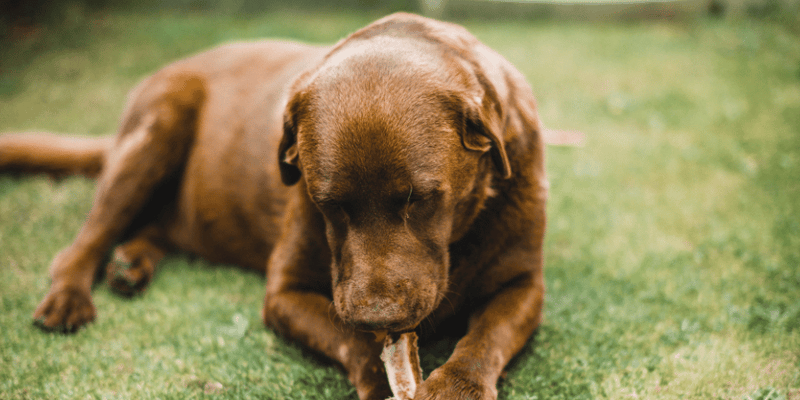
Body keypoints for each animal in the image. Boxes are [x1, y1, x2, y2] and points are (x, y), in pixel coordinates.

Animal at [1, 13, 552, 400]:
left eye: (422, 199)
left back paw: (130, 265)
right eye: (329, 203)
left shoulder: (524, 284)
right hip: (157, 127)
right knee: (84, 241)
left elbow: (486, 337)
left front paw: (457, 386)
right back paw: (70, 297)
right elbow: (349, 338)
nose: (378, 317)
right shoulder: (284, 292)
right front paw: (379, 375)